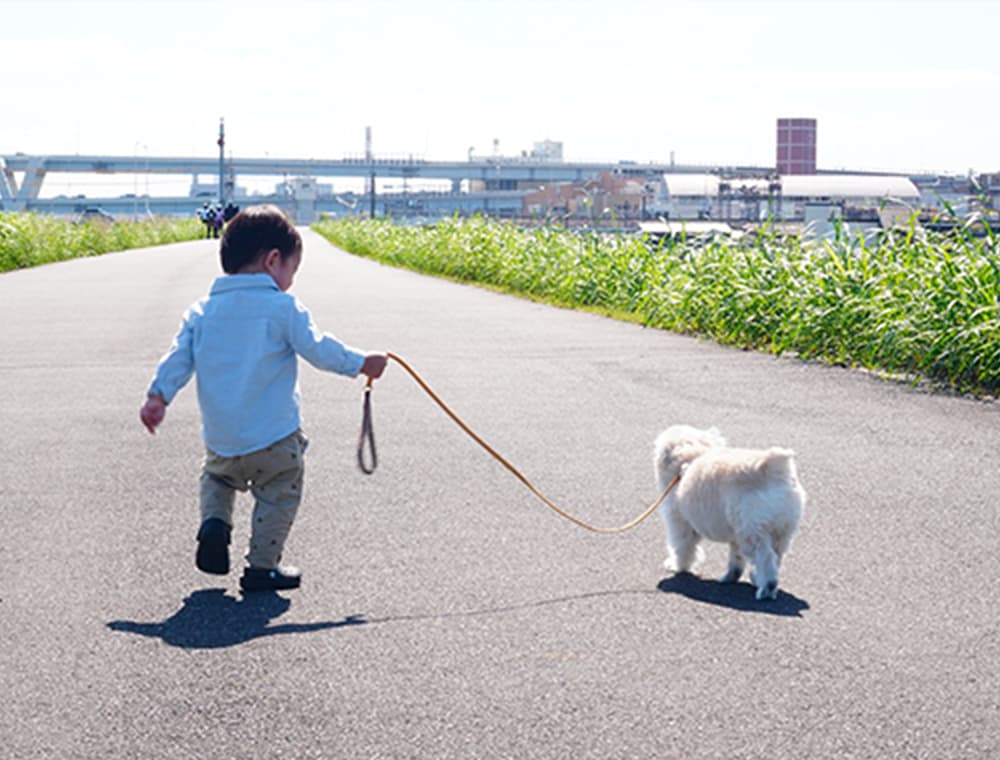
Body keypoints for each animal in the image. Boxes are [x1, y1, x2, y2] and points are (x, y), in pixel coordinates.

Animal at [656, 428, 804, 600]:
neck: (690, 454)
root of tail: (776, 468)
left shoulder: (680, 524)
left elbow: (682, 548)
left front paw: (678, 566)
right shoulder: (735, 536)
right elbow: (736, 559)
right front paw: (730, 576)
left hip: (752, 532)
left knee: (765, 558)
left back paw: (766, 588)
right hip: (781, 531)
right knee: (776, 557)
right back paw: (758, 579)